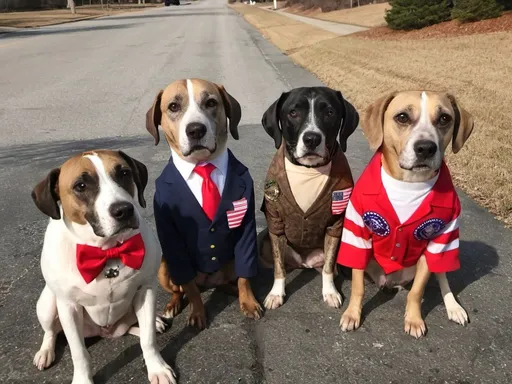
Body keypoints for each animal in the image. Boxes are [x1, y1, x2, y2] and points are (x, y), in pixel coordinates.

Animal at [32, 150, 176, 384]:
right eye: (81, 185)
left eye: (124, 173)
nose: (123, 210)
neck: (106, 251)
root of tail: (105, 332)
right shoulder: (68, 306)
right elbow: (79, 353)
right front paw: (82, 379)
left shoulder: (145, 289)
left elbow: (148, 340)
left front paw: (157, 368)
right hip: (48, 304)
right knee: (51, 332)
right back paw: (45, 351)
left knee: (133, 327)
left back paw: (154, 322)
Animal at [146, 79, 262, 330]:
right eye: (173, 106)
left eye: (211, 103)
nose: (195, 130)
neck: (202, 164)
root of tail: (208, 282)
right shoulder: (171, 236)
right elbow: (189, 287)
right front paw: (197, 312)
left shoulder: (246, 228)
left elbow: (245, 277)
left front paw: (248, 301)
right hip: (164, 266)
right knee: (182, 288)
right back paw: (173, 304)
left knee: (230, 280)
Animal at [338, 91, 474, 338]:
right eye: (402, 117)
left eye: (444, 118)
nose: (426, 148)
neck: (409, 184)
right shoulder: (357, 233)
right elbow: (358, 286)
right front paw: (352, 314)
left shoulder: (438, 240)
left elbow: (417, 292)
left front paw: (414, 319)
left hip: (442, 252)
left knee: (443, 278)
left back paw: (453, 307)